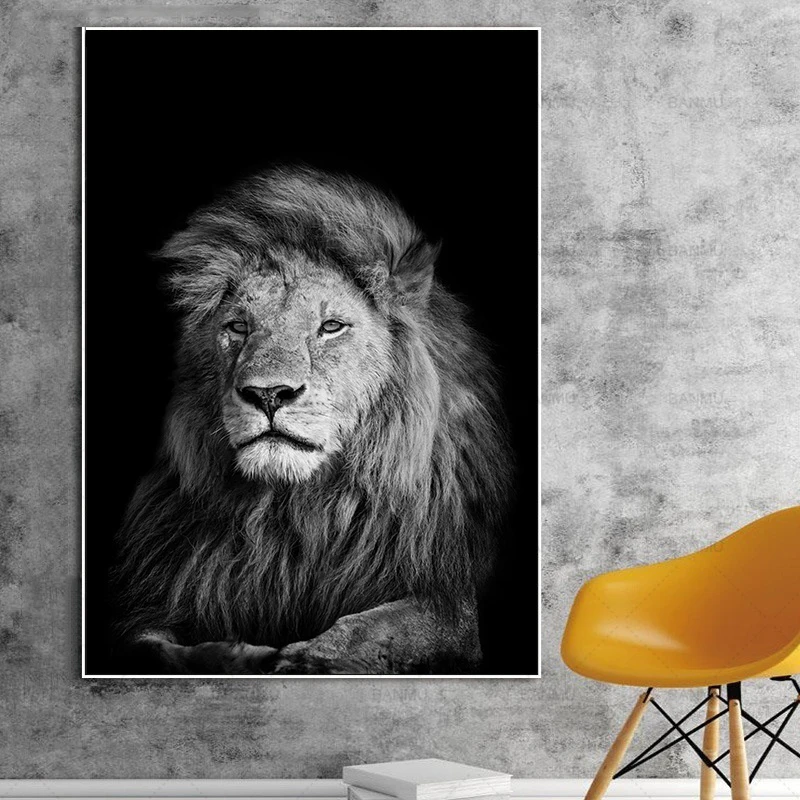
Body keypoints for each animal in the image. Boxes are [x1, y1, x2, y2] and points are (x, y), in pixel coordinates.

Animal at [109, 165, 514, 674]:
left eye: (331, 327)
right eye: (238, 327)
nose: (268, 394)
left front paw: (304, 659)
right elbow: (153, 648)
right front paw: (237, 656)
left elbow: (371, 628)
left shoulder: (450, 604)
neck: (294, 514)